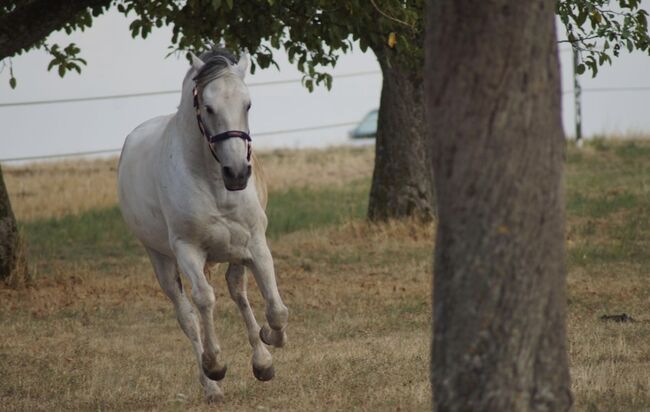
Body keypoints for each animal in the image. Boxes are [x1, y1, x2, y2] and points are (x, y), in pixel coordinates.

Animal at [117, 48, 288, 402]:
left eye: (247, 104)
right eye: (208, 107)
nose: (237, 172)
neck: (213, 183)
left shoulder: (255, 244)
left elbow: (275, 307)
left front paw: (270, 340)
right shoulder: (188, 250)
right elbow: (205, 301)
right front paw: (216, 366)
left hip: (230, 253)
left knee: (237, 292)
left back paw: (262, 360)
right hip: (161, 258)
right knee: (188, 314)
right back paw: (211, 386)